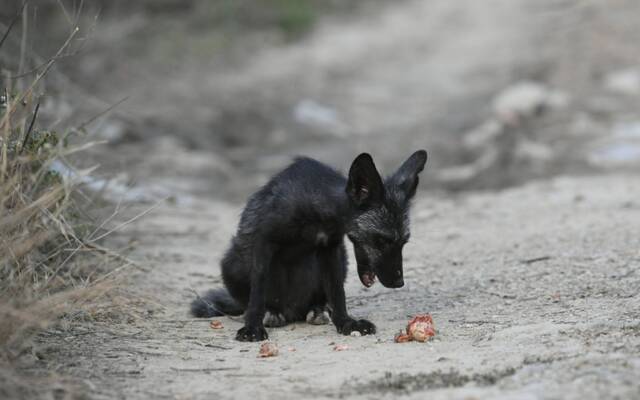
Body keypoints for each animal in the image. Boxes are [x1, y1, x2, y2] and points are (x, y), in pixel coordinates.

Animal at [191, 148, 430, 342]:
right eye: (380, 240)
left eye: (403, 242)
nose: (399, 282)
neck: (316, 209)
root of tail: (291, 311)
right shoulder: (264, 242)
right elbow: (257, 295)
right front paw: (252, 328)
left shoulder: (330, 248)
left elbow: (337, 294)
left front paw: (346, 323)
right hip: (233, 262)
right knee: (251, 303)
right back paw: (270, 313)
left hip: (339, 261)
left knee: (319, 301)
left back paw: (317, 310)